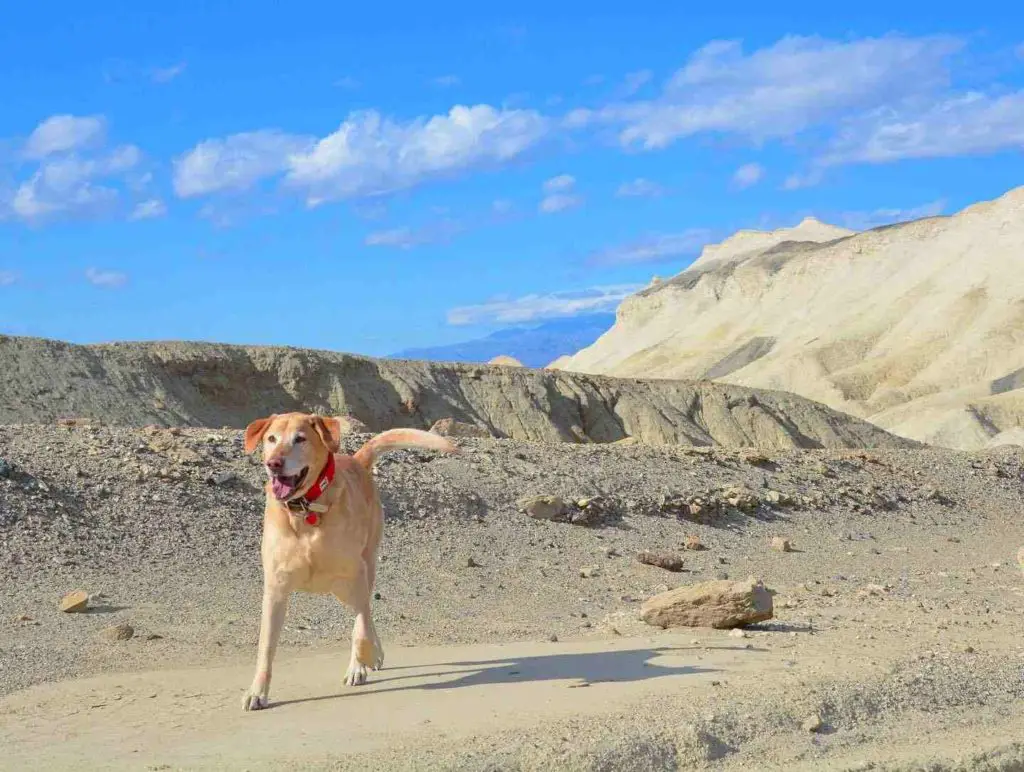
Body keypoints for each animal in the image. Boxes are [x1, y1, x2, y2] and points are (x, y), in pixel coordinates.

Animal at [239, 409, 456, 708]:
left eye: (300, 439)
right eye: (271, 438)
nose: (274, 463)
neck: (307, 511)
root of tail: (356, 460)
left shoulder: (355, 574)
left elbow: (360, 626)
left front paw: (362, 660)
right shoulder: (275, 590)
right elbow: (266, 647)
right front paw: (257, 692)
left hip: (358, 573)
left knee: (365, 613)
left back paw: (365, 660)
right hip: (341, 588)